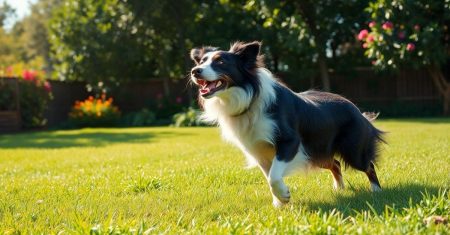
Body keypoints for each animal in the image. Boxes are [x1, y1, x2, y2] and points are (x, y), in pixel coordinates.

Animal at [188, 41, 384, 207]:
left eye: (220, 62)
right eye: (202, 61)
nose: (195, 71)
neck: (249, 98)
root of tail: (357, 110)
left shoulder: (290, 141)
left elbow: (274, 176)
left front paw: (284, 196)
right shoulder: (258, 150)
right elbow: (269, 176)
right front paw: (279, 203)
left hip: (352, 150)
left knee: (368, 165)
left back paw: (376, 190)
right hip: (316, 152)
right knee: (335, 163)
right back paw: (339, 188)